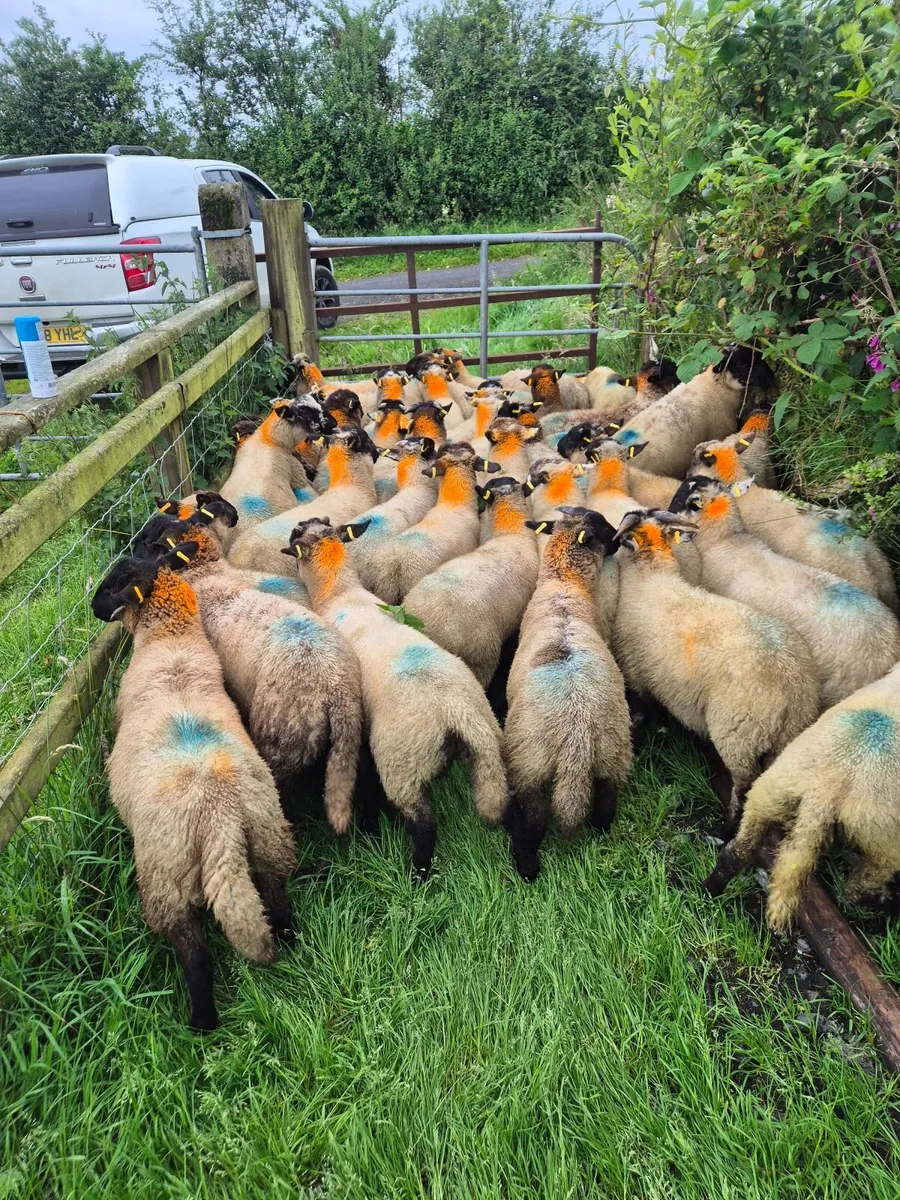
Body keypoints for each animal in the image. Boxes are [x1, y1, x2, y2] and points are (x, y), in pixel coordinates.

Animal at [91, 546, 296, 1031]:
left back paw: (201, 1024)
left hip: (166, 880)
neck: (172, 642)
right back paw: (289, 944)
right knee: (277, 905)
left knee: (196, 956)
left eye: (114, 583)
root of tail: (221, 817)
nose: (91, 608)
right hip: (270, 840)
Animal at [282, 517, 507, 879]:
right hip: (487, 753)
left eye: (294, 535)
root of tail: (457, 712)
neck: (340, 592)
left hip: (401, 763)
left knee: (424, 824)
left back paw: (418, 875)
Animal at [503, 507, 632, 879]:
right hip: (612, 751)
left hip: (529, 762)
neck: (563, 583)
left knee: (535, 820)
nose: (619, 541)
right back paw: (599, 833)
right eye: (604, 527)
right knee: (605, 804)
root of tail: (577, 733)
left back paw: (527, 869)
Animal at [612, 509, 821, 823]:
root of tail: (795, 688)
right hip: (782, 742)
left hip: (740, 737)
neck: (650, 573)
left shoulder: (637, 676)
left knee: (744, 789)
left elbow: (641, 715)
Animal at [703, 661, 900, 933]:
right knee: (856, 885)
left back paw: (709, 889)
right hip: (882, 841)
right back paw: (883, 902)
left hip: (769, 792)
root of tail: (825, 792)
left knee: (737, 851)